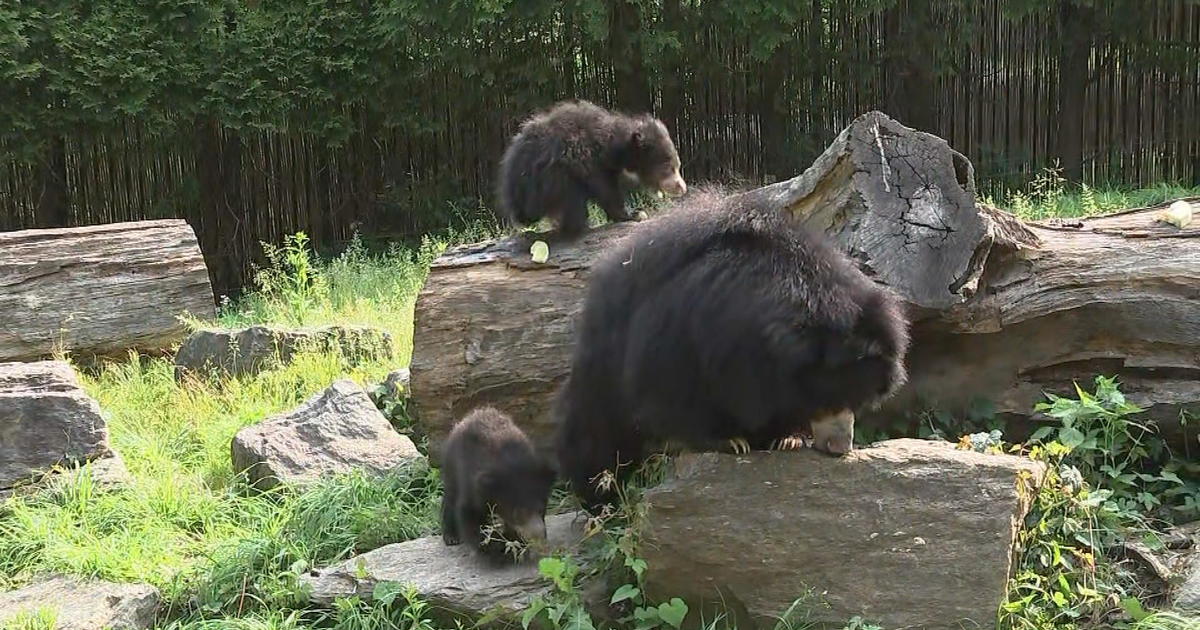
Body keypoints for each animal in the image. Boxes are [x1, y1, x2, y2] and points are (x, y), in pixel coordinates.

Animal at [552, 188, 907, 511]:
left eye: (860, 400)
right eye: (828, 399)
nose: (840, 447)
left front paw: (786, 437)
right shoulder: (699, 331)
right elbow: (680, 390)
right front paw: (731, 441)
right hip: (605, 358)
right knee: (597, 432)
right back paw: (600, 497)